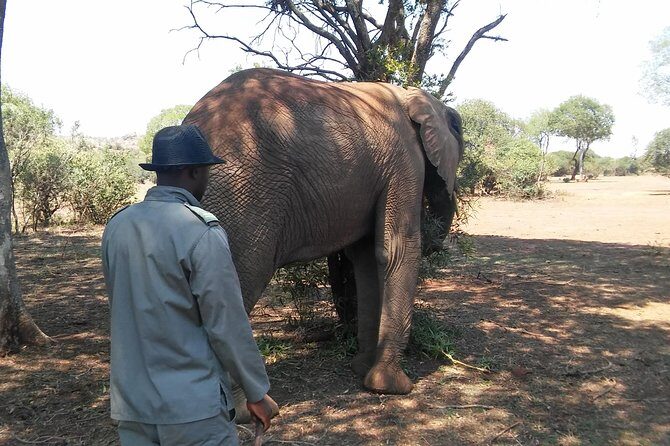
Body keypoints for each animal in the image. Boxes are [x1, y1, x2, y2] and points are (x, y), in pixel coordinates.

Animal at [182, 68, 464, 397]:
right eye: (459, 133)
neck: (411, 96)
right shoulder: (405, 161)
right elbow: (397, 248)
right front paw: (393, 388)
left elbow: (366, 258)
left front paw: (361, 369)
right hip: (245, 197)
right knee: (240, 280)